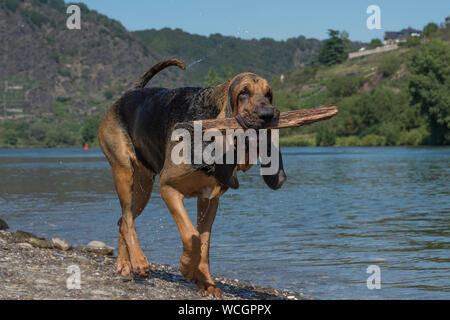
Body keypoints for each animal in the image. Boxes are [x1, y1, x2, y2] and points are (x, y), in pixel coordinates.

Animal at [100, 58, 286, 296]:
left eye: (269, 94)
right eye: (243, 92)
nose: (270, 115)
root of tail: (128, 93)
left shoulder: (209, 200)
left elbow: (204, 244)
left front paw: (207, 283)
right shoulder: (168, 189)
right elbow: (192, 236)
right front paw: (187, 267)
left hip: (142, 190)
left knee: (123, 219)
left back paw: (125, 264)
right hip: (123, 172)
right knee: (127, 220)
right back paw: (139, 263)